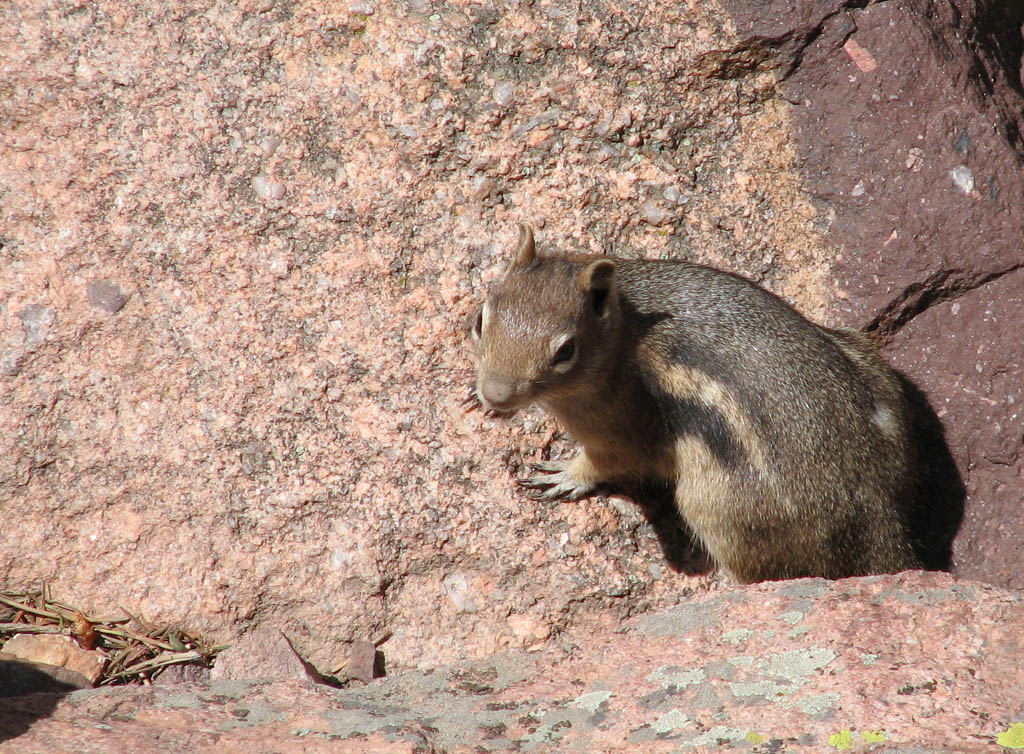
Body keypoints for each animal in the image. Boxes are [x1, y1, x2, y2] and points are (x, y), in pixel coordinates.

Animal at [468, 223, 925, 581]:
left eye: (566, 351)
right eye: (479, 319)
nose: (496, 393)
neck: (621, 335)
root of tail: (882, 521)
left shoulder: (622, 424)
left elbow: (607, 460)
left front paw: (566, 474)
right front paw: (477, 398)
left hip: (715, 505)